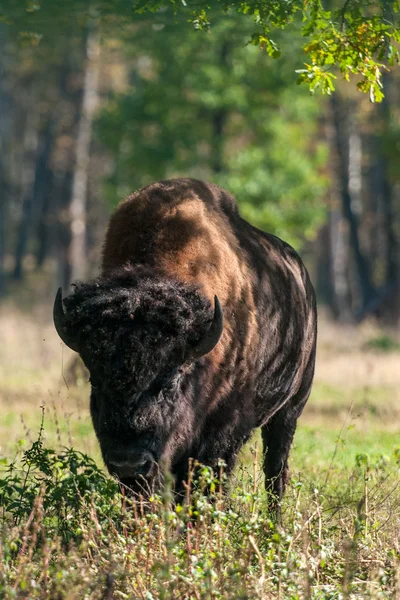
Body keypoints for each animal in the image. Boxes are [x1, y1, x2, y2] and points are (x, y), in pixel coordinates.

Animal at [54, 178, 316, 506]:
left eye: (169, 382)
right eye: (95, 380)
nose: (129, 462)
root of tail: (304, 280)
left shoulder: (222, 429)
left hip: (290, 408)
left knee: (276, 471)